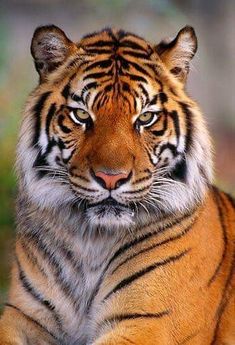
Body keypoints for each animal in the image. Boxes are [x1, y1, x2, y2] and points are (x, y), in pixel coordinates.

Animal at [0, 23, 235, 342]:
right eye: (81, 115)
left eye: (146, 118)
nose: (111, 177)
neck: (91, 241)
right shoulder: (22, 315)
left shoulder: (148, 322)